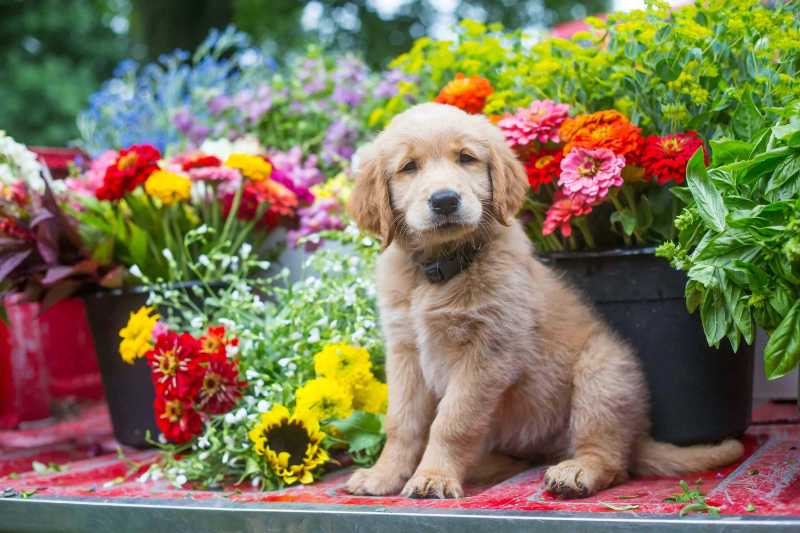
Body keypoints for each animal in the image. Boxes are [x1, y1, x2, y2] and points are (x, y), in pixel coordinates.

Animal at [346, 102, 748, 496]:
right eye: (409, 167)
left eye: (466, 158)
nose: (445, 201)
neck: (440, 270)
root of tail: (638, 439)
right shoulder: (405, 352)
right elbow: (402, 422)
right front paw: (384, 474)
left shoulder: (489, 351)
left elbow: (453, 421)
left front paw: (434, 476)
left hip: (602, 373)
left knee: (612, 461)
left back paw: (577, 471)